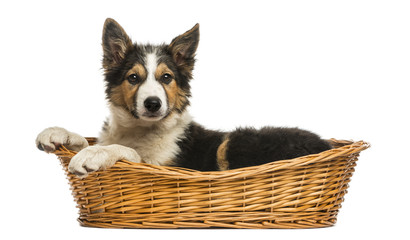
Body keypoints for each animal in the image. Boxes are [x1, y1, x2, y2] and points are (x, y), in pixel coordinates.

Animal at [35, 18, 334, 178]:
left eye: (166, 77)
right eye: (133, 78)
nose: (153, 104)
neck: (141, 130)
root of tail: (326, 145)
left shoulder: (166, 166)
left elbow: (128, 152)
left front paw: (94, 155)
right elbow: (87, 139)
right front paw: (58, 133)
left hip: (235, 141)